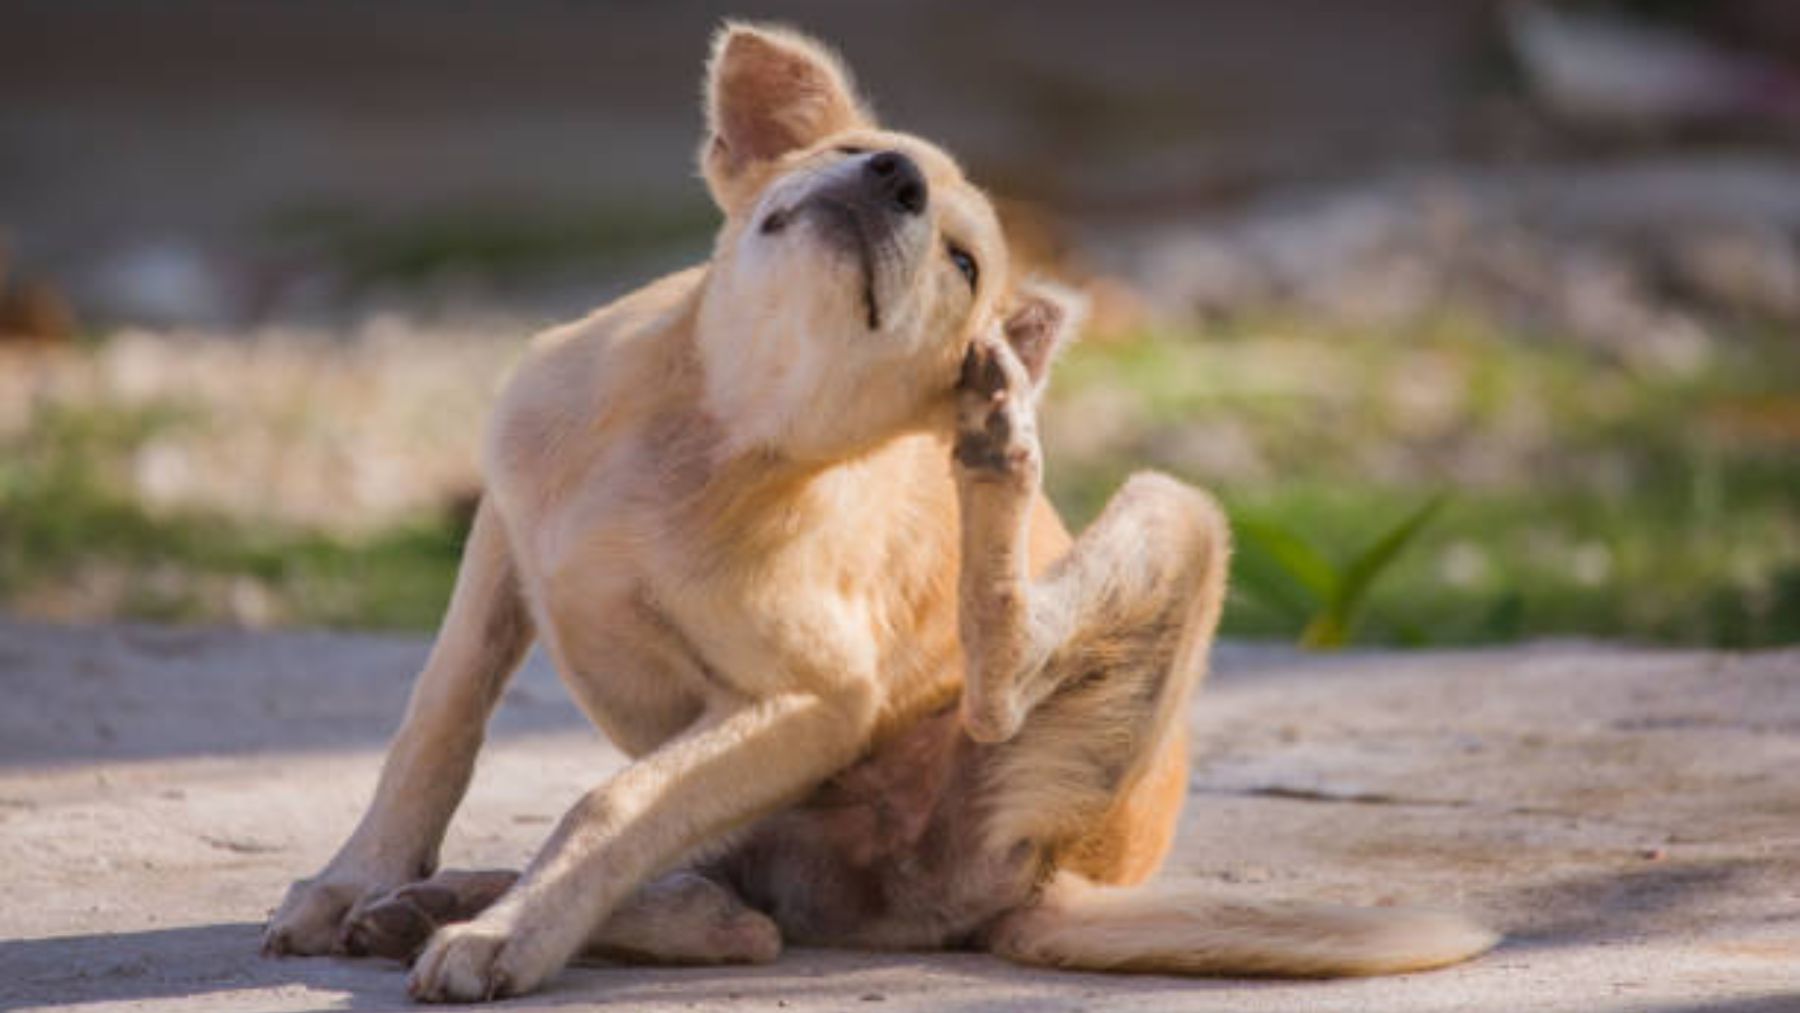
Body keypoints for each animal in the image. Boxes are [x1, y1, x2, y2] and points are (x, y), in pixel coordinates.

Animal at [262, 21, 1504, 1000]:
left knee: (963, 712)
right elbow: (437, 722)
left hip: (1171, 522)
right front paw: (358, 878)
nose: (894, 180)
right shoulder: (501, 542)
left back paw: (999, 451)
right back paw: (441, 900)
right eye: (858, 154)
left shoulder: (813, 697)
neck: (710, 424)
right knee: (737, 909)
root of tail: (1059, 879)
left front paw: (510, 934)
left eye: (962, 262)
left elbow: (610, 802)